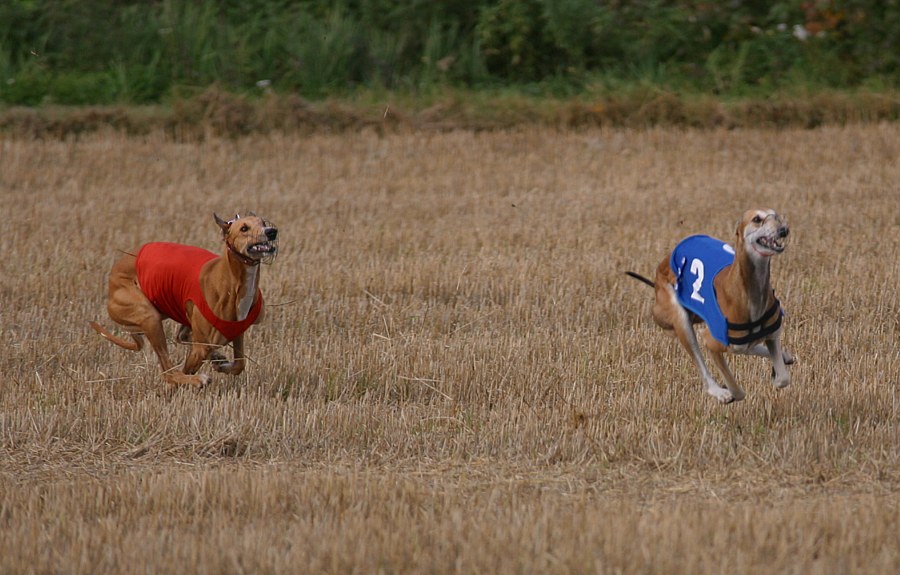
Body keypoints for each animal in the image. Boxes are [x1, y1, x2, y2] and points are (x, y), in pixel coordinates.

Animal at [90, 213, 278, 387]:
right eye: (244, 228)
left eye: (263, 222)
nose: (271, 231)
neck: (231, 281)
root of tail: (112, 277)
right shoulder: (200, 348)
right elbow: (186, 369)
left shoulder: (237, 332)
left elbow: (240, 364)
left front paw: (221, 364)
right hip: (149, 316)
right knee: (168, 372)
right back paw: (195, 379)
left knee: (181, 337)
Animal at [626, 209, 792, 404]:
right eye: (757, 219)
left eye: (776, 215)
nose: (784, 230)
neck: (749, 291)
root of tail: (662, 266)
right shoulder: (710, 342)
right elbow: (738, 392)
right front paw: (728, 393)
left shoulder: (772, 335)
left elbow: (782, 378)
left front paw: (776, 369)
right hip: (678, 318)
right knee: (702, 365)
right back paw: (718, 391)